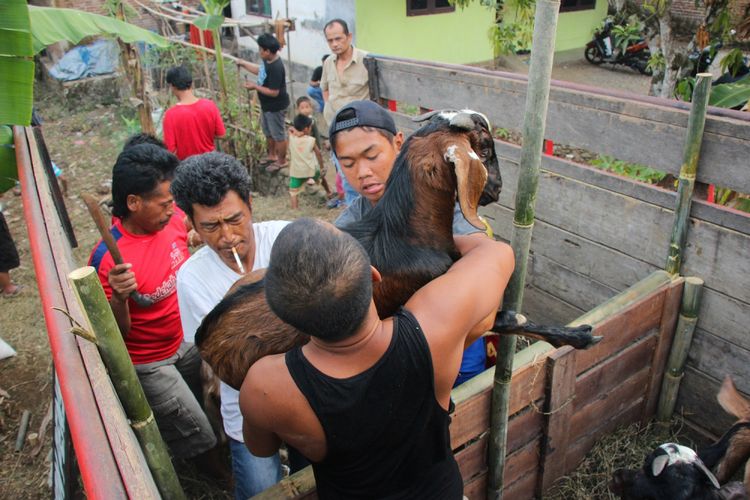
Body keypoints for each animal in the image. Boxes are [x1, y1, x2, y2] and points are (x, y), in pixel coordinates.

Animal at [194, 109, 600, 390]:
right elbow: (510, 320)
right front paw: (580, 336)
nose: (496, 189)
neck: (406, 235)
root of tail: (202, 336)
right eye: (485, 149)